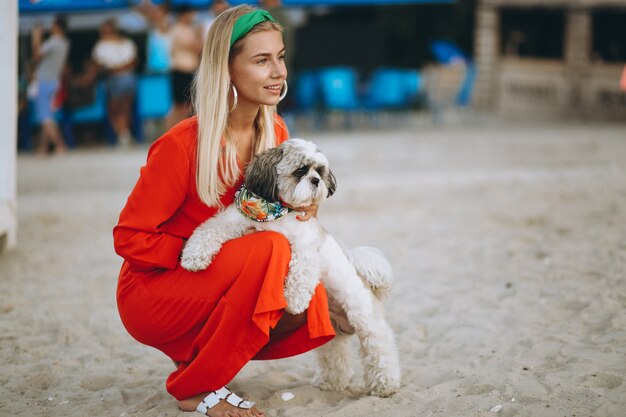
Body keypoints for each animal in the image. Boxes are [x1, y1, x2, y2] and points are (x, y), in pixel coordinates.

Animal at [180, 138, 400, 394]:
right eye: (301, 171)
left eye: (319, 171)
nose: (316, 181)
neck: (275, 210)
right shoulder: (231, 221)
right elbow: (209, 230)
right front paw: (194, 255)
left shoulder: (306, 244)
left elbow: (301, 270)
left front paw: (295, 299)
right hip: (334, 332)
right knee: (335, 355)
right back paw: (330, 382)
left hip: (364, 317)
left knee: (379, 345)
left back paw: (385, 384)